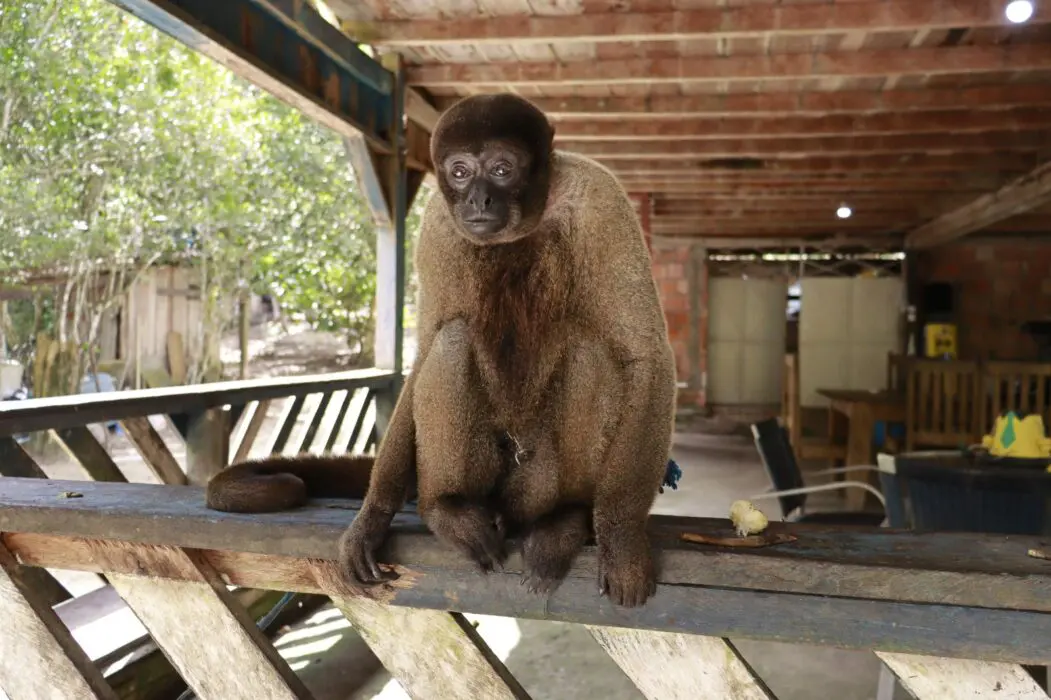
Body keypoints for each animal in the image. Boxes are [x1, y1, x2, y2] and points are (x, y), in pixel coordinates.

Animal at [206, 93, 677, 608]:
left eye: (502, 169)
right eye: (460, 171)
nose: (478, 198)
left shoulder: (601, 201)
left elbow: (646, 358)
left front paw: (622, 538)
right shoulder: (436, 221)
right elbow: (427, 345)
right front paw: (372, 518)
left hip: (533, 484)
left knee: (589, 353)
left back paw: (564, 519)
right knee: (452, 341)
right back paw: (445, 507)